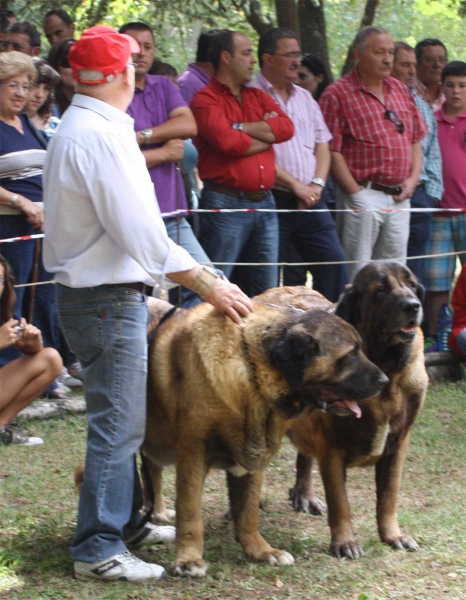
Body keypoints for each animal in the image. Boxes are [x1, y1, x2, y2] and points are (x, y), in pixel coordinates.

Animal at [143, 298, 390, 576]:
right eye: (350, 355)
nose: (385, 380)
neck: (252, 372)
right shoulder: (193, 457)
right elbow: (190, 513)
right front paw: (188, 559)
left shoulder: (251, 454)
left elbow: (248, 511)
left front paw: (261, 551)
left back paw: (157, 511)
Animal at [260, 260, 428, 560]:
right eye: (381, 289)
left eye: (411, 285)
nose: (412, 305)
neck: (387, 370)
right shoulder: (332, 447)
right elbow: (340, 502)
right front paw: (345, 542)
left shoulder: (398, 442)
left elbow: (388, 495)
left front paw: (392, 536)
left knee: (304, 457)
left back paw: (304, 495)